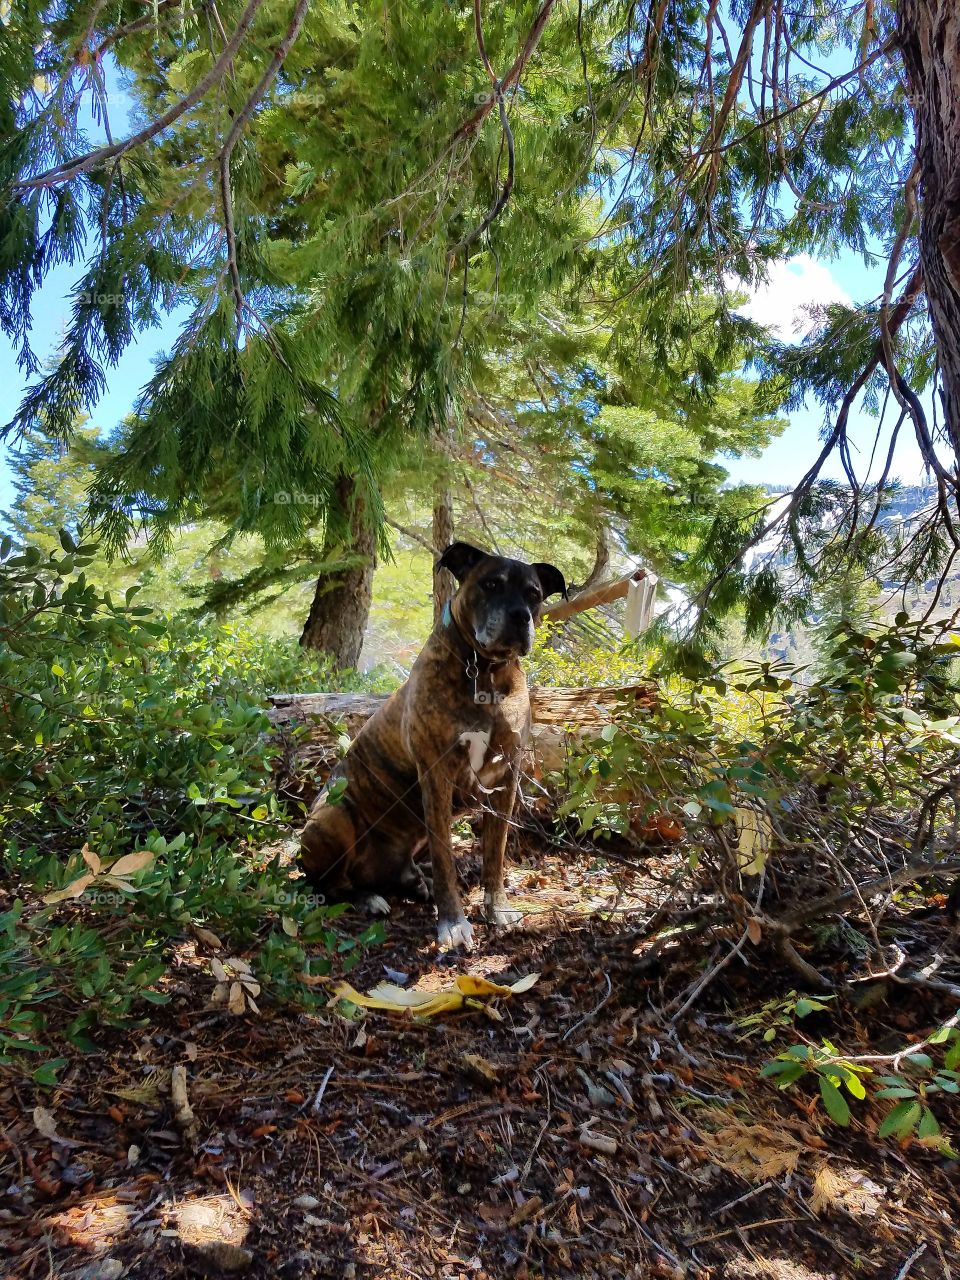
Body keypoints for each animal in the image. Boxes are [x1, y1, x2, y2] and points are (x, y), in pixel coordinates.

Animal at [300, 540, 568, 952]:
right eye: (491, 584)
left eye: (534, 594)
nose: (520, 616)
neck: (484, 672)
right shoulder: (437, 777)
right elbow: (446, 861)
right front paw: (453, 922)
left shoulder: (505, 780)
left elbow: (496, 852)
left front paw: (497, 906)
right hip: (331, 818)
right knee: (330, 884)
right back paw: (368, 898)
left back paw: (414, 883)